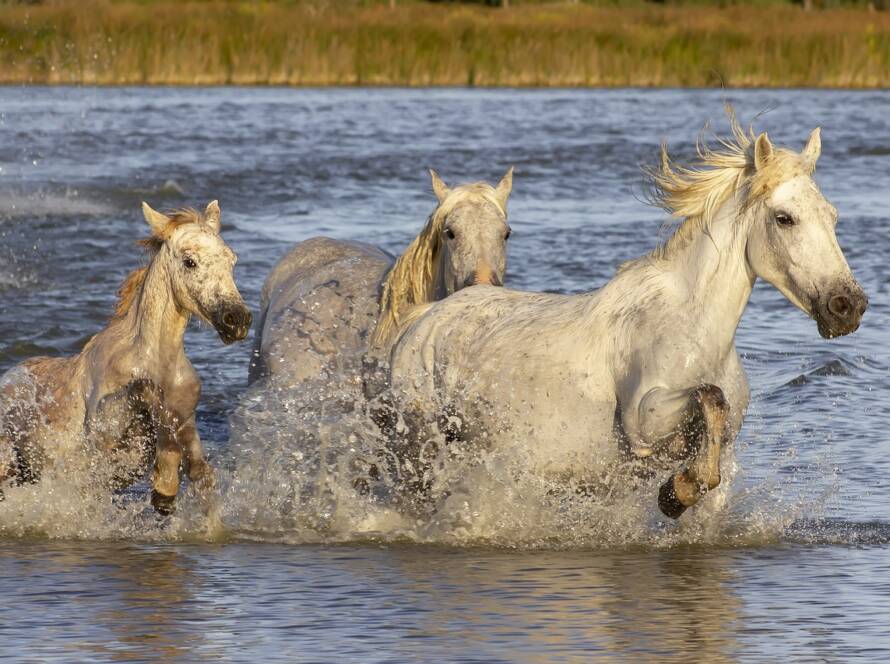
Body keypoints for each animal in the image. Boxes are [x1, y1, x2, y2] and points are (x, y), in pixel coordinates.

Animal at [0, 201, 252, 514]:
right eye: (189, 261)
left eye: (231, 260)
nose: (237, 320)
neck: (155, 362)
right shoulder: (104, 435)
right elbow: (143, 392)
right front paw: (165, 482)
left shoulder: (186, 420)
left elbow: (200, 471)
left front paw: (167, 489)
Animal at [387, 113, 868, 519]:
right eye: (785, 218)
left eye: (832, 216)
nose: (848, 306)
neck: (696, 331)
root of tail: (425, 317)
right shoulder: (644, 422)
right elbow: (710, 396)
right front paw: (675, 493)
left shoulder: (723, 453)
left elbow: (712, 458)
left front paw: (677, 491)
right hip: (420, 451)